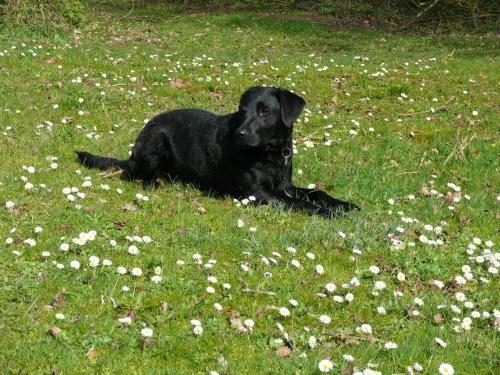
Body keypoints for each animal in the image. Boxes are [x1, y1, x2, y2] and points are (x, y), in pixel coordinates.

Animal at [76, 87, 358, 219]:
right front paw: (328, 213)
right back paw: (153, 182)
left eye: (264, 111)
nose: (240, 134)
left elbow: (316, 192)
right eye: (243, 111)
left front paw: (343, 205)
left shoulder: (285, 186)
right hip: (156, 139)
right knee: (136, 175)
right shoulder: (260, 194)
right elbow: (301, 203)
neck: (271, 153)